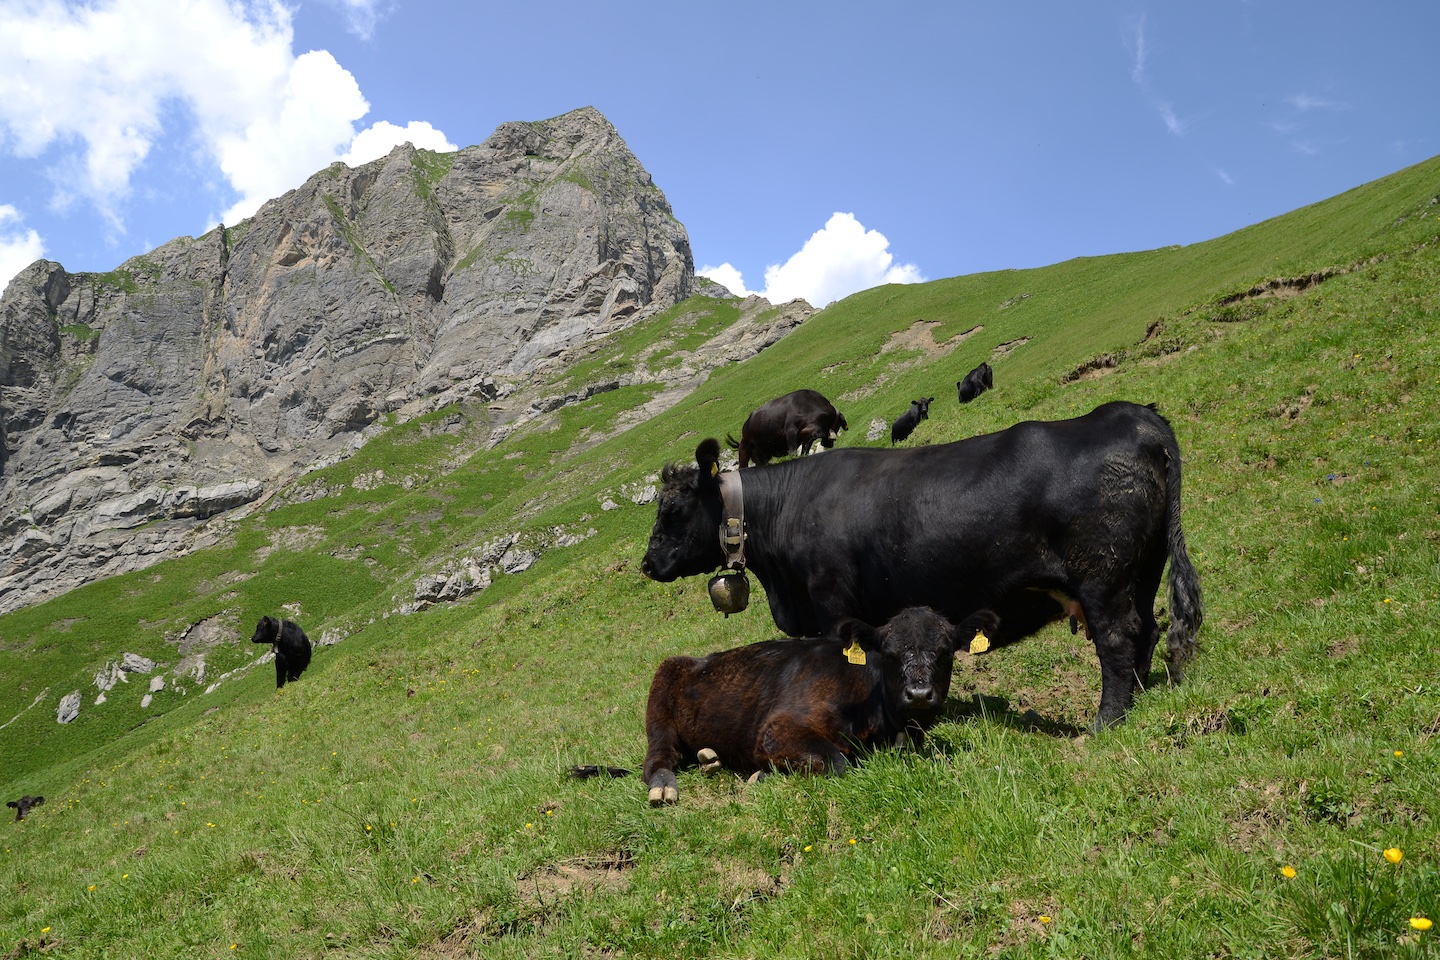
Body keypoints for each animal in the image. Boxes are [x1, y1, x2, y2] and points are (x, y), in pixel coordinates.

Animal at [642, 400, 1203, 728]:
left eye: (673, 511)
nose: (647, 564)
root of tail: (1133, 415)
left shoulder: (830, 602)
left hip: (1103, 577)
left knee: (1117, 639)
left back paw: (1106, 721)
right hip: (1143, 569)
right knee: (1148, 629)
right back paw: (1140, 696)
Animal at [642, 607, 956, 805]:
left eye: (946, 653)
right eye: (890, 655)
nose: (918, 694)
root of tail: (701, 659)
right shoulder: (777, 728)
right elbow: (837, 762)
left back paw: (711, 759)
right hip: (661, 700)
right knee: (658, 758)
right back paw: (663, 786)